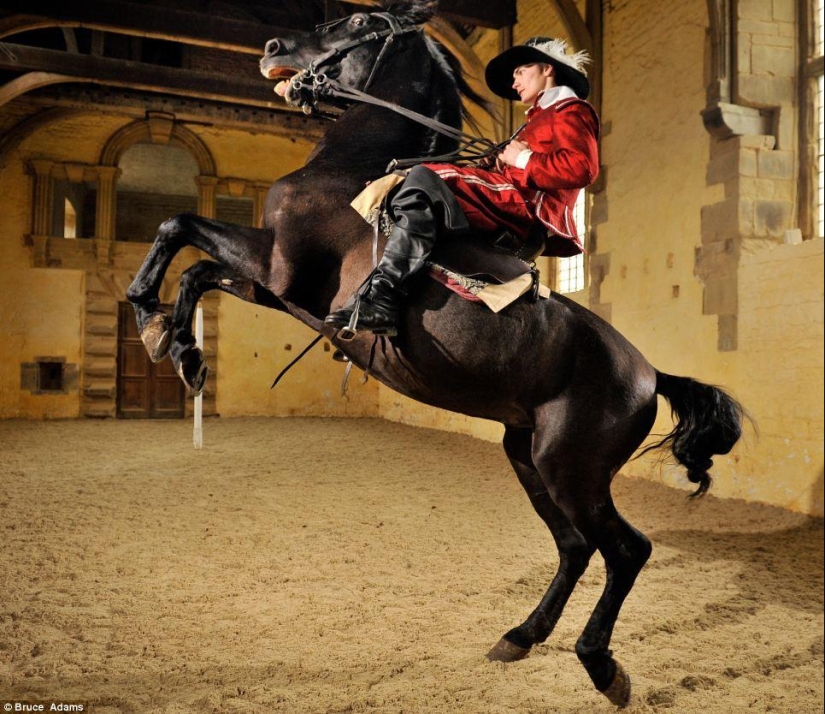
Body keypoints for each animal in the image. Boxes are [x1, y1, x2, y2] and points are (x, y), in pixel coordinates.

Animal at [126, 0, 744, 706]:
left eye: (356, 22)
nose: (273, 47)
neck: (352, 167)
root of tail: (648, 374)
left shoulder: (277, 268)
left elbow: (180, 229)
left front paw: (151, 317)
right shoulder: (272, 287)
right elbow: (195, 266)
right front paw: (176, 344)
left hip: (573, 470)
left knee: (625, 550)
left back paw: (600, 664)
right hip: (529, 456)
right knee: (574, 546)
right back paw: (520, 636)